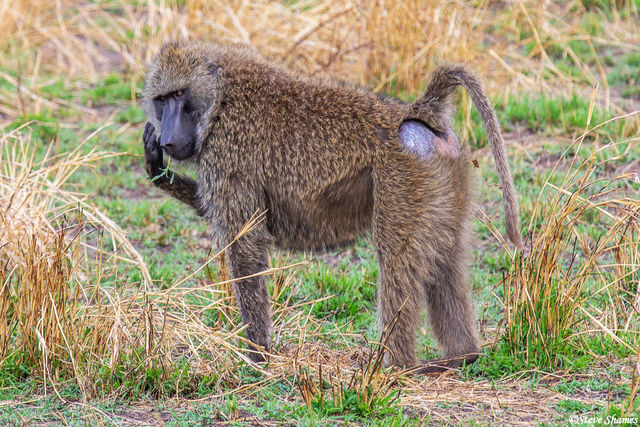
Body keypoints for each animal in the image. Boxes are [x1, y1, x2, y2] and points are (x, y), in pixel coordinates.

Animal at [140, 40, 523, 373]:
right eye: (161, 100)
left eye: (179, 95)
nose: (169, 139)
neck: (220, 97)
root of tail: (415, 112)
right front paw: (156, 168)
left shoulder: (228, 152)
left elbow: (246, 244)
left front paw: (258, 357)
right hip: (446, 177)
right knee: (448, 256)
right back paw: (462, 356)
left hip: (402, 176)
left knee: (396, 258)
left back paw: (396, 367)